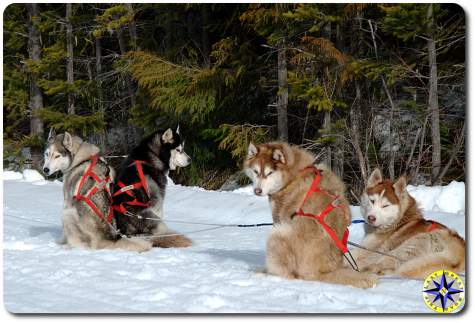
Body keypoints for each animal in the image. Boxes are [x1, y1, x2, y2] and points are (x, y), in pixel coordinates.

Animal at [245, 143, 380, 290]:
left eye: (270, 173)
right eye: (256, 171)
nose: (257, 191)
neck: (294, 175)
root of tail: (322, 271)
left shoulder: (278, 217)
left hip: (277, 234)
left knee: (289, 275)